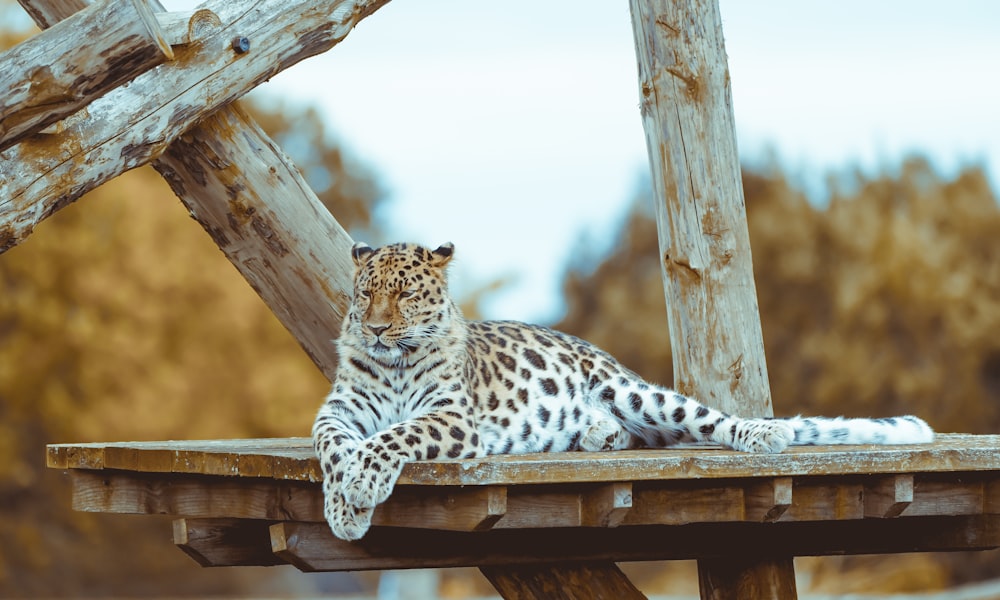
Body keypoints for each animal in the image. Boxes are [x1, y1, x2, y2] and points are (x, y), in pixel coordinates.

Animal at [312, 241, 936, 540]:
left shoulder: (450, 417)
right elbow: (335, 448)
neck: (395, 363)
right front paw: (344, 505)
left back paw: (761, 435)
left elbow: (393, 437)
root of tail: (599, 353)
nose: (376, 328)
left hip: (642, 395)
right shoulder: (338, 412)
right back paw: (597, 433)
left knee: (712, 420)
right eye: (366, 293)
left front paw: (362, 485)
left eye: (405, 294)